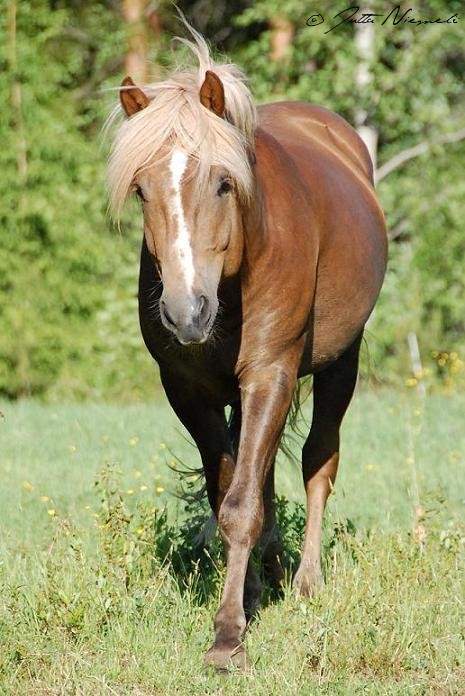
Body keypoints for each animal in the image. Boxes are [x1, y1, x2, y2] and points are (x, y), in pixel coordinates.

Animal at [107, 25, 386, 668]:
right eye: (141, 190)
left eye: (223, 182)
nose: (186, 312)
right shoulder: (191, 393)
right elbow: (230, 494)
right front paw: (250, 594)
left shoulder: (270, 376)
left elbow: (241, 506)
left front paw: (228, 635)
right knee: (264, 474)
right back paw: (275, 572)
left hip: (341, 363)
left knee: (318, 459)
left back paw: (306, 581)